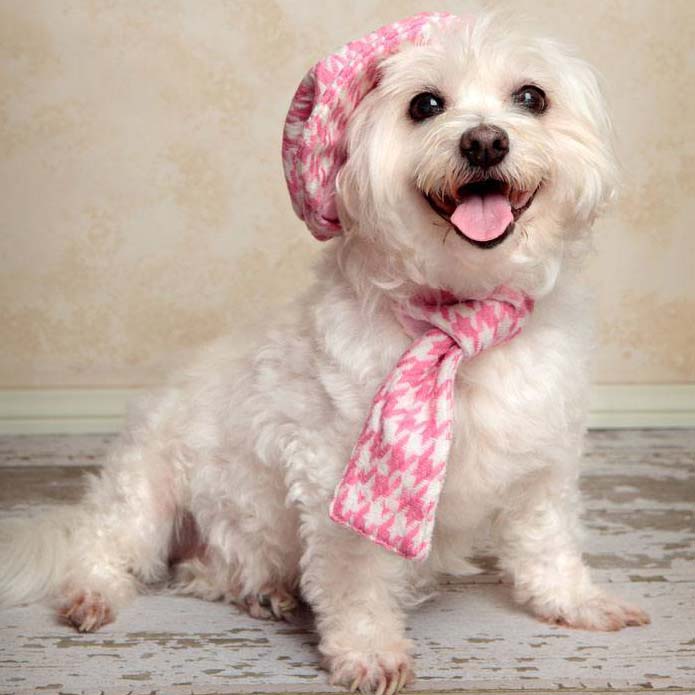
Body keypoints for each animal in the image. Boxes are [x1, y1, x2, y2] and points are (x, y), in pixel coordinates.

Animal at [1, 12, 652, 695]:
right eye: (425, 105)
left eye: (531, 97)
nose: (483, 143)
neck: (460, 319)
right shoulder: (339, 472)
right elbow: (358, 579)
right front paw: (368, 650)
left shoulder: (542, 460)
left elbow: (548, 543)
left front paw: (576, 601)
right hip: (145, 490)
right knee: (106, 547)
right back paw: (93, 593)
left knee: (206, 573)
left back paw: (262, 590)